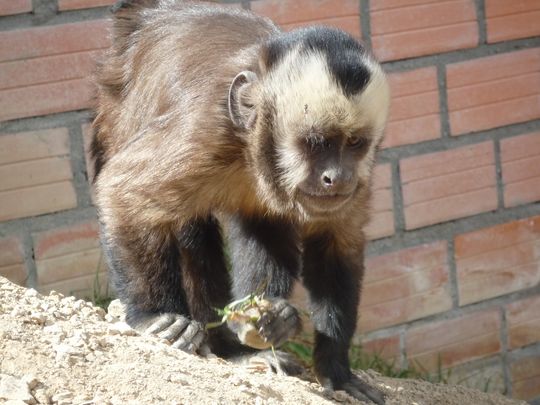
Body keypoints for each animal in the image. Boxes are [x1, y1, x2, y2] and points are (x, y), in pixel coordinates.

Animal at [92, 0, 388, 400]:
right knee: (188, 227)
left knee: (263, 223)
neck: (250, 144)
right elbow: (124, 192)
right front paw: (154, 316)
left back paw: (265, 329)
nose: (337, 177)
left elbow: (335, 246)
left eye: (354, 144)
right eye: (317, 142)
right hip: (115, 113)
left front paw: (335, 369)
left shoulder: (359, 177)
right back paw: (227, 348)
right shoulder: (205, 130)